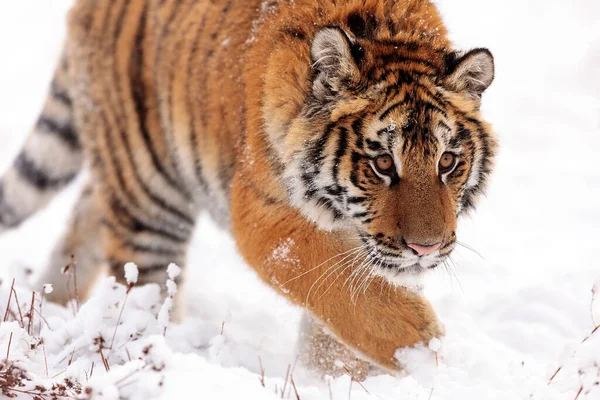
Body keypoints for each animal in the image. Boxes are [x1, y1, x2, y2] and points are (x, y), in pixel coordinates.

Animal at [0, 0, 496, 376]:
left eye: (447, 162)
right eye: (382, 164)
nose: (426, 249)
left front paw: (333, 378)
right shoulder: (264, 213)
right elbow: (337, 281)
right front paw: (422, 347)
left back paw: (50, 305)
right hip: (149, 196)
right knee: (143, 294)